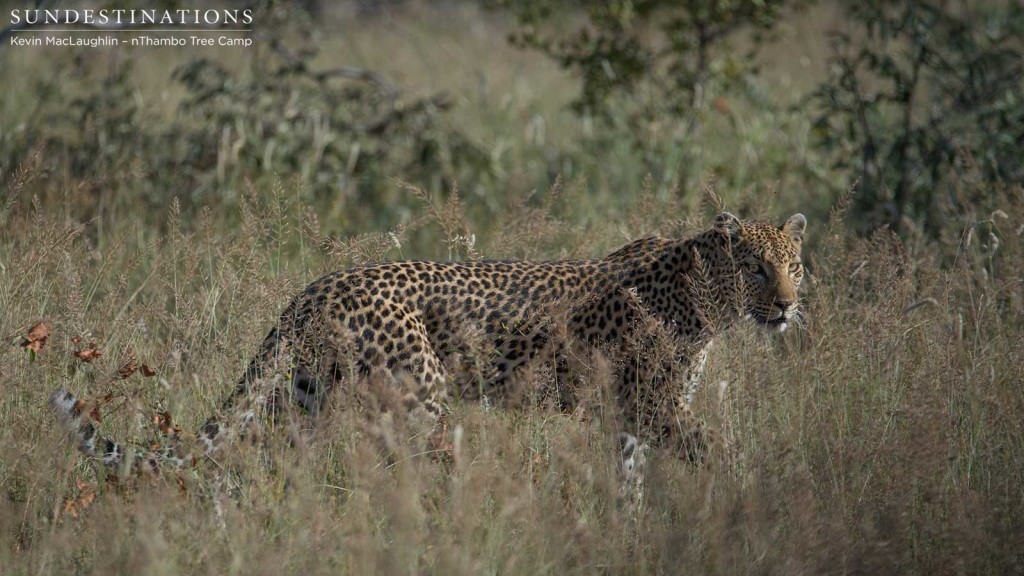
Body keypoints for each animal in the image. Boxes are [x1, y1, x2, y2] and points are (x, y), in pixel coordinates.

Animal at [51, 213, 806, 477]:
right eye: (756, 268)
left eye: (793, 264)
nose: (786, 305)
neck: (706, 298)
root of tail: (317, 286)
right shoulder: (656, 409)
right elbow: (720, 455)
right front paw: (755, 493)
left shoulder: (630, 418)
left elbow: (631, 481)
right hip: (422, 402)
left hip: (301, 400)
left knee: (262, 461)